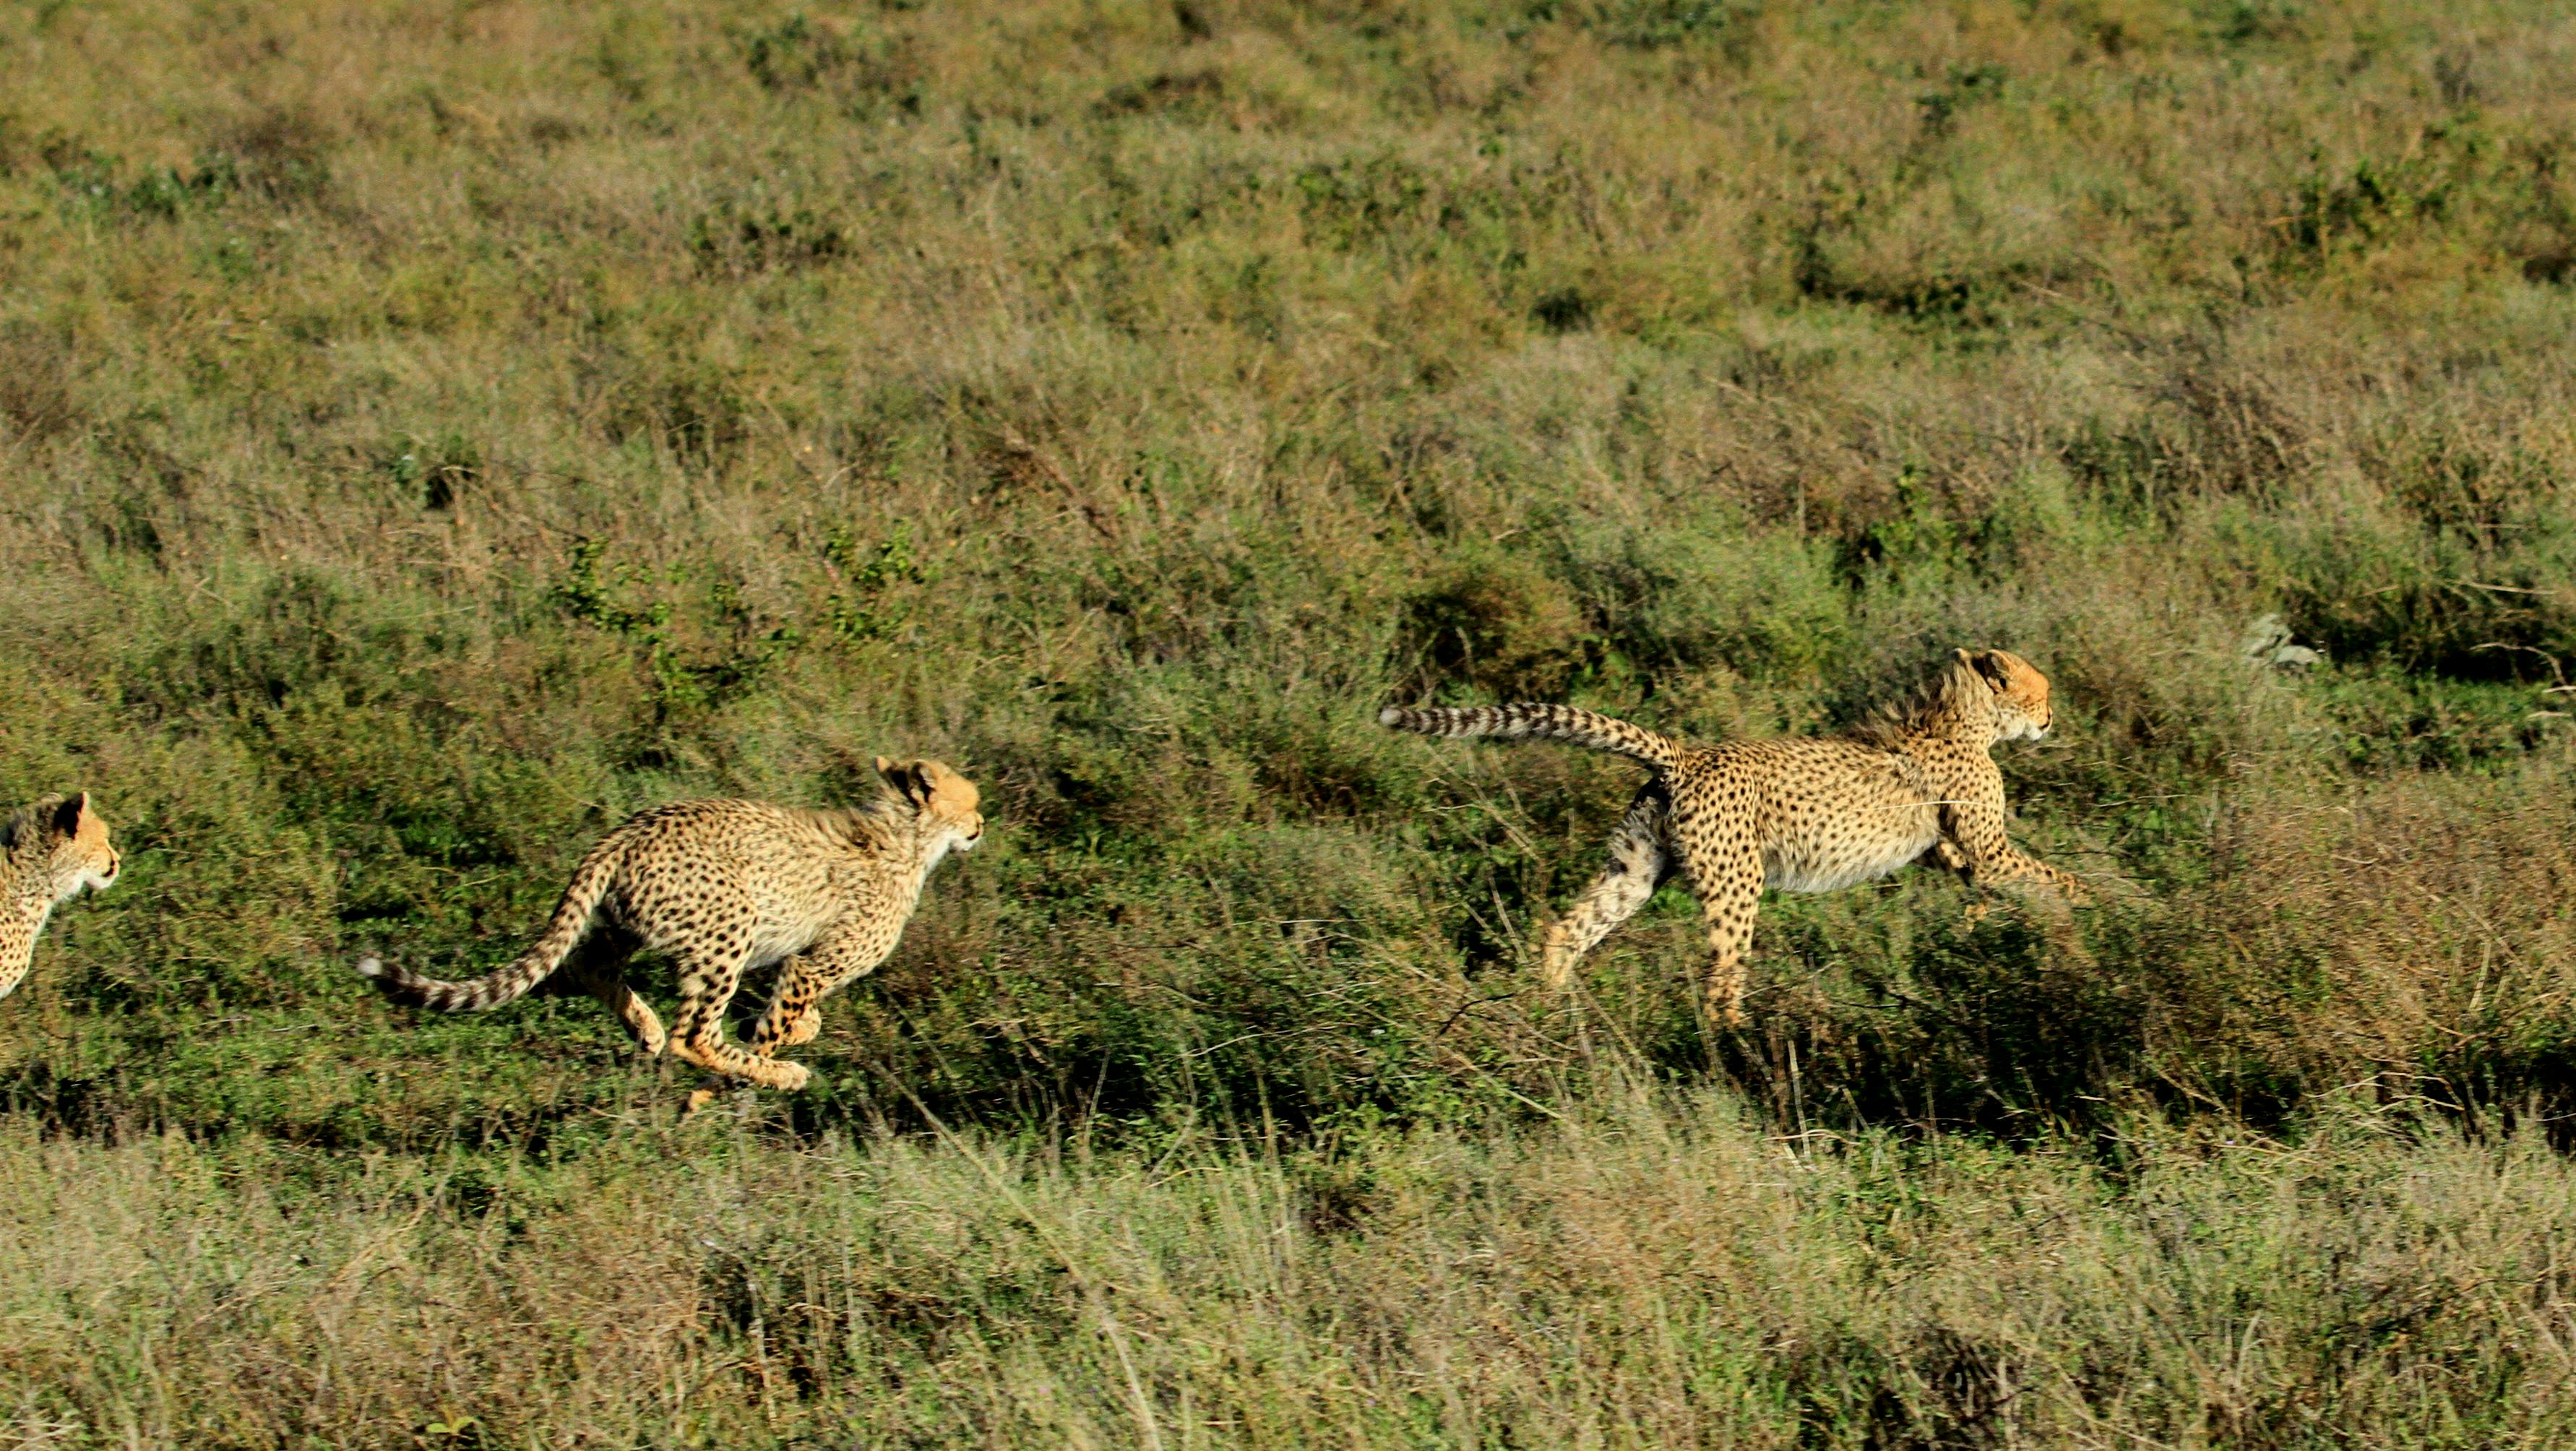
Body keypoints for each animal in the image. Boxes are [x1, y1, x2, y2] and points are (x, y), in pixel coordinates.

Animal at [368, 762, 988, 1093]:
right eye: (971, 803)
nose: (983, 824)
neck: (907, 838)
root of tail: (629, 828)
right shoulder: (815, 963)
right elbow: (780, 1018)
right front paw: (765, 1062)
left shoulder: (802, 961)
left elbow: (795, 1013)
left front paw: (794, 1032)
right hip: (729, 924)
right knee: (694, 1034)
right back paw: (775, 1072)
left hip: (634, 921)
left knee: (589, 963)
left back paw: (644, 1029)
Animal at [1380, 652, 2081, 1025]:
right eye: (2041, 691)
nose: (2050, 719)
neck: (1962, 720)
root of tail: (1685, 757)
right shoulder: (1987, 844)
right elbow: (2052, 878)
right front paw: (2085, 921)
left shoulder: (1951, 847)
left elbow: (1980, 873)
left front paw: (1999, 923)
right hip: (1737, 883)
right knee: (1720, 982)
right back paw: (1741, 1049)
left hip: (1636, 870)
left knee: (1567, 928)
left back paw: (1547, 1012)